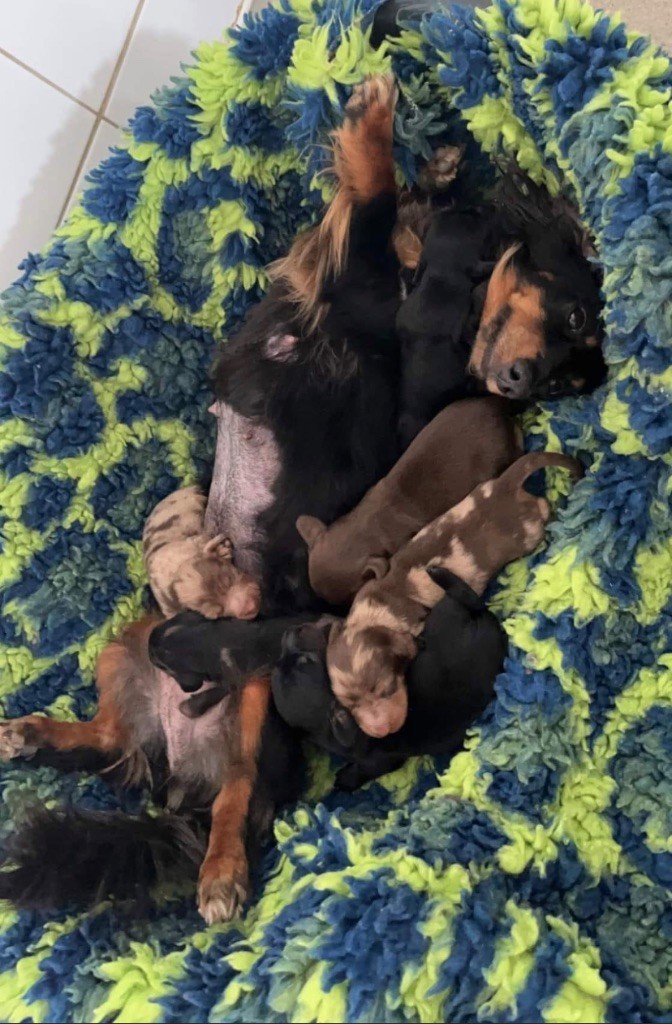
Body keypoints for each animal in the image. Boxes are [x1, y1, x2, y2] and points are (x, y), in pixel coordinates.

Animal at [143, 485, 261, 620]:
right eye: (219, 613)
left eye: (230, 577)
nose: (250, 607)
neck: (176, 570)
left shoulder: (191, 542)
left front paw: (222, 549)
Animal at [327, 452, 581, 738]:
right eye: (350, 704)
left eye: (386, 689)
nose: (379, 732)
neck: (374, 616)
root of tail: (503, 486)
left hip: (529, 530)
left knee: (542, 506)